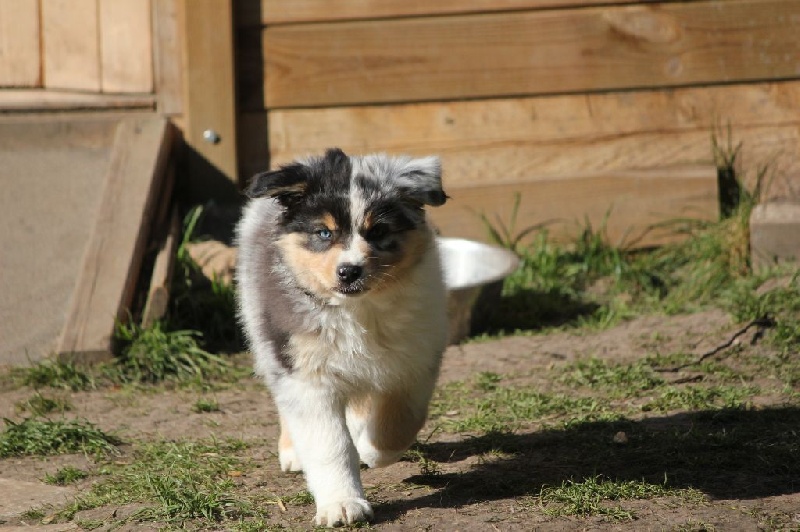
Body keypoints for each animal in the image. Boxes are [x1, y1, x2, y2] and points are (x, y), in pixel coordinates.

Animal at [235, 148, 449, 526]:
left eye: (378, 231)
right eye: (323, 233)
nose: (349, 271)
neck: (357, 310)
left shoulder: (415, 358)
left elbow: (399, 423)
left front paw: (371, 449)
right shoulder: (304, 373)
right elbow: (329, 443)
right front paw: (341, 504)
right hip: (265, 331)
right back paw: (293, 452)